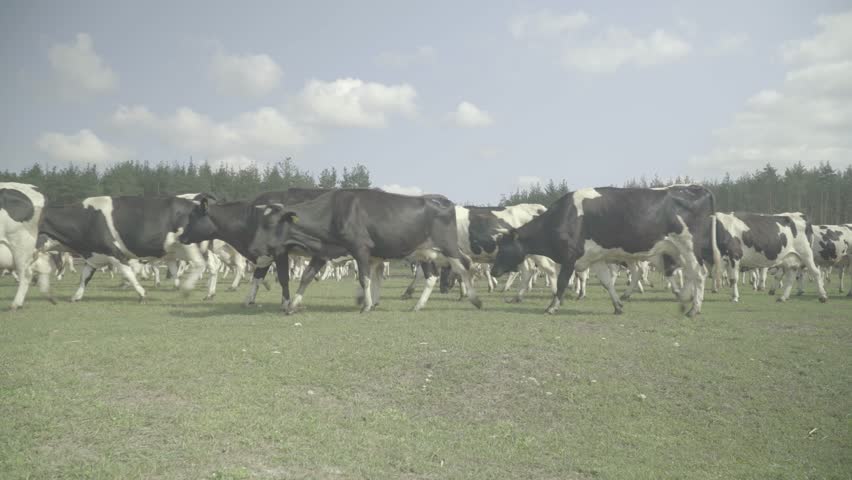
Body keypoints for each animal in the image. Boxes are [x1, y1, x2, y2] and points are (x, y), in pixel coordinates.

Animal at [38, 195, 209, 302]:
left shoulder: (114, 253)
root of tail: (195, 203)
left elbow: (129, 273)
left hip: (189, 246)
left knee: (201, 264)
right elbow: (84, 277)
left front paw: (142, 293)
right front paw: (76, 296)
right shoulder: (94, 255)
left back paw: (188, 288)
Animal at [246, 189, 482, 313]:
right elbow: (306, 276)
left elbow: (364, 278)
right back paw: (420, 304)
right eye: (258, 223)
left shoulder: (360, 248)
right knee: (436, 275)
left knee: (466, 265)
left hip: (447, 245)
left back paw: (475, 299)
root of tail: (444, 201)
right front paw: (293, 305)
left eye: (270, 224)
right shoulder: (323, 251)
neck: (334, 211)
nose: (253, 248)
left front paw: (366, 305)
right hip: (427, 252)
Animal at [490, 185, 720, 316]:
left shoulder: (569, 257)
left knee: (699, 274)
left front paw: (551, 307)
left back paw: (694, 309)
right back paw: (685, 300)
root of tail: (696, 188)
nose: (492, 270)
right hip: (678, 250)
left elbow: (563, 282)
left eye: (503, 248)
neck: (563, 217)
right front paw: (617, 306)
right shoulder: (595, 258)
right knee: (689, 274)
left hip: (688, 245)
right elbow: (607, 282)